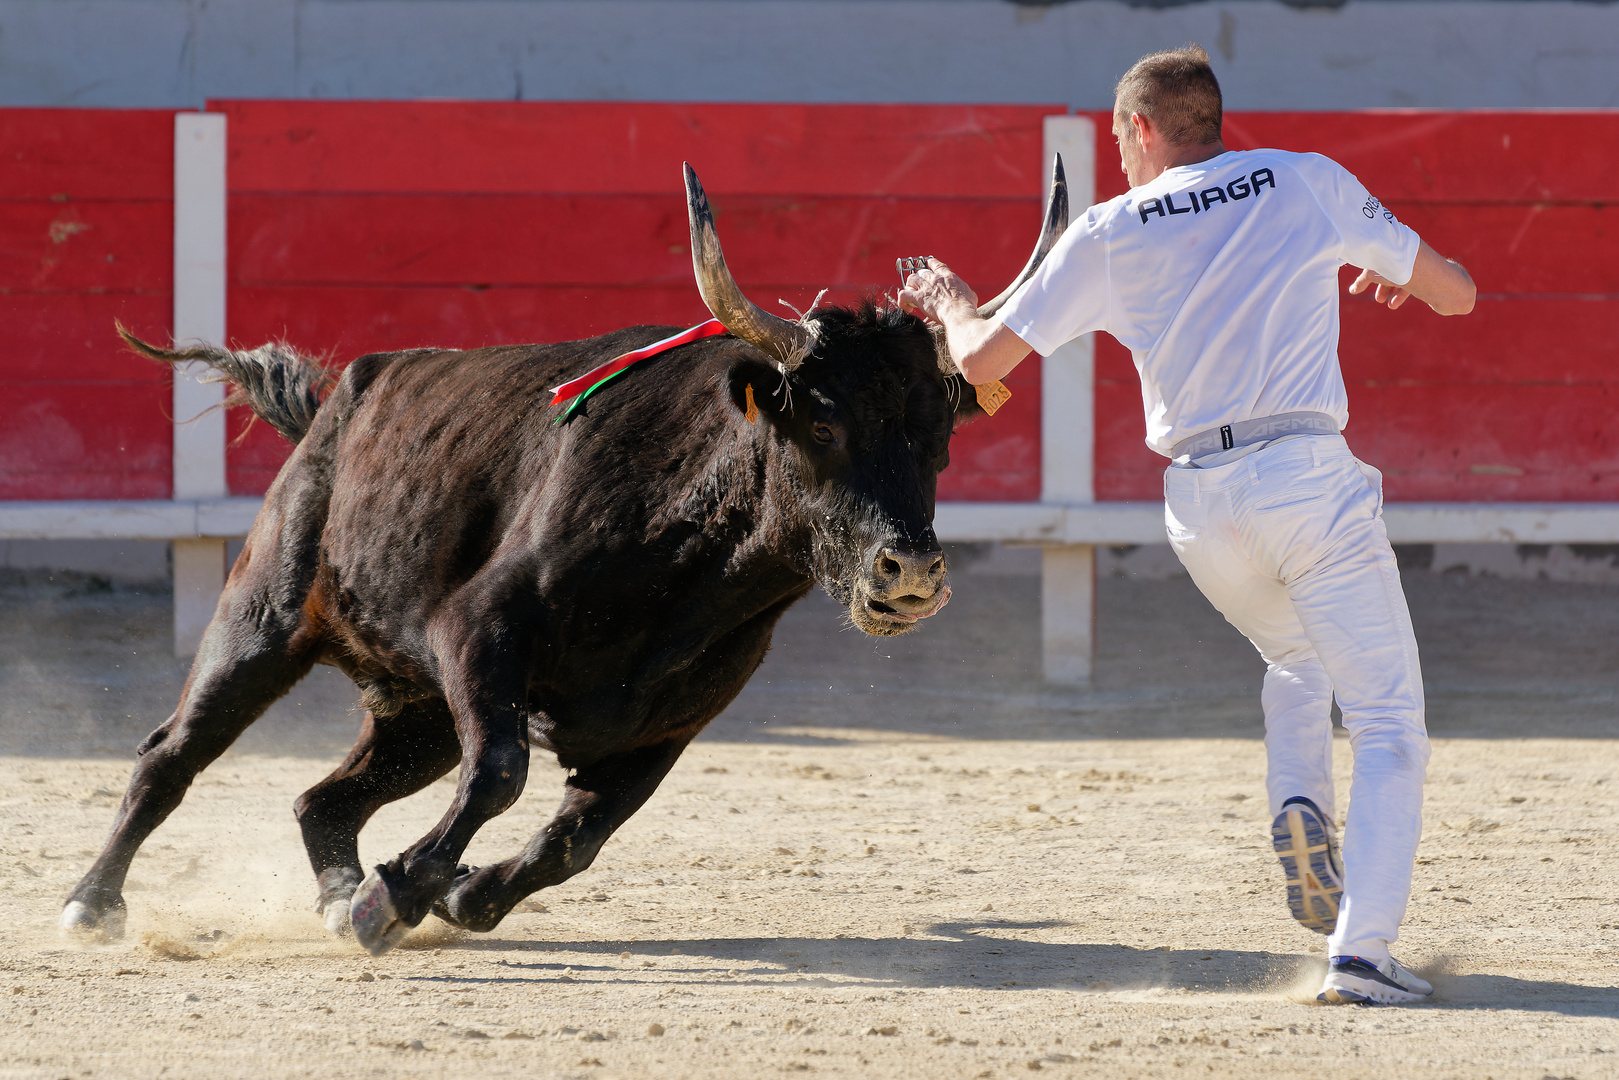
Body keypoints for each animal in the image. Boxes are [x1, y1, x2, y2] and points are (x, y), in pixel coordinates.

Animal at [63, 158, 1068, 952]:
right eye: (822, 423)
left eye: (939, 439)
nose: (911, 576)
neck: (687, 574)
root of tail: (335, 403)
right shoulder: (477, 631)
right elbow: (503, 773)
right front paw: (401, 893)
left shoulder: (669, 724)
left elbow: (575, 839)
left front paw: (452, 895)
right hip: (264, 619)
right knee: (171, 754)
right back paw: (93, 905)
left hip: (417, 710)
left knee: (325, 800)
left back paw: (340, 898)